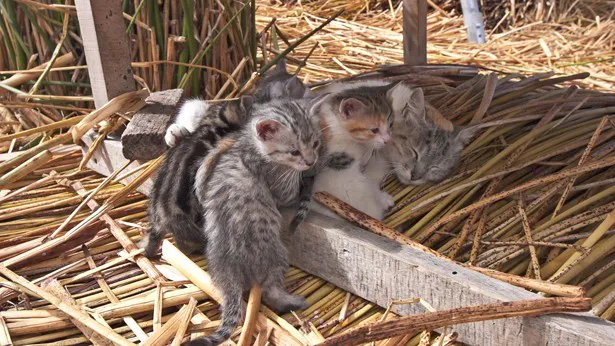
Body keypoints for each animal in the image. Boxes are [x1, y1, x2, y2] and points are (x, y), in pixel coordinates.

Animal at [186, 98, 322, 344]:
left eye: (315, 143)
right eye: (294, 151)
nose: (310, 161)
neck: (253, 145)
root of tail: (230, 269)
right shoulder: (278, 183)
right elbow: (289, 191)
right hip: (277, 256)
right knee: (270, 291)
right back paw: (293, 301)